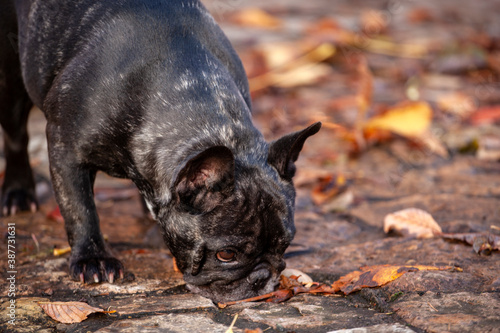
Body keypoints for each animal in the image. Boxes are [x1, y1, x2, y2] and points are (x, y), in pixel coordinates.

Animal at [0, 0, 320, 300]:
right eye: (226, 255)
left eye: (285, 245)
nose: (262, 277)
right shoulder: (66, 151)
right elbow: (80, 209)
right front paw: (93, 259)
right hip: (11, 81)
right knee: (16, 137)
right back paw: (17, 192)